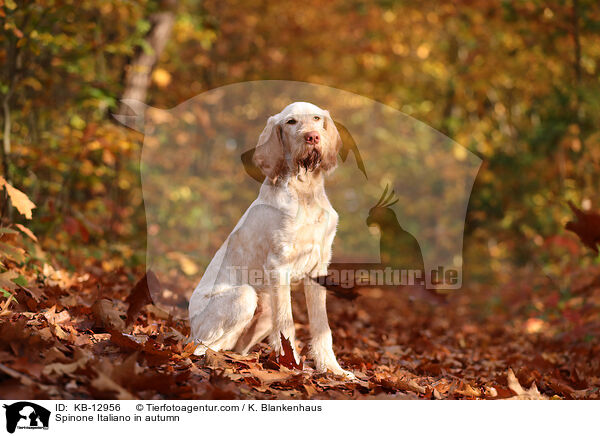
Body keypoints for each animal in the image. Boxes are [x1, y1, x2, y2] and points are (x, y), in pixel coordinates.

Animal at [190, 100, 354, 376]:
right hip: (244, 297)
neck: (304, 191)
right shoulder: (279, 266)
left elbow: (322, 328)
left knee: (233, 347)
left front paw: (332, 369)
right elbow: (287, 325)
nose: (312, 137)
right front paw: (293, 366)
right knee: (201, 347)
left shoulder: (318, 268)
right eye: (291, 122)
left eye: (317, 118)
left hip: (264, 309)